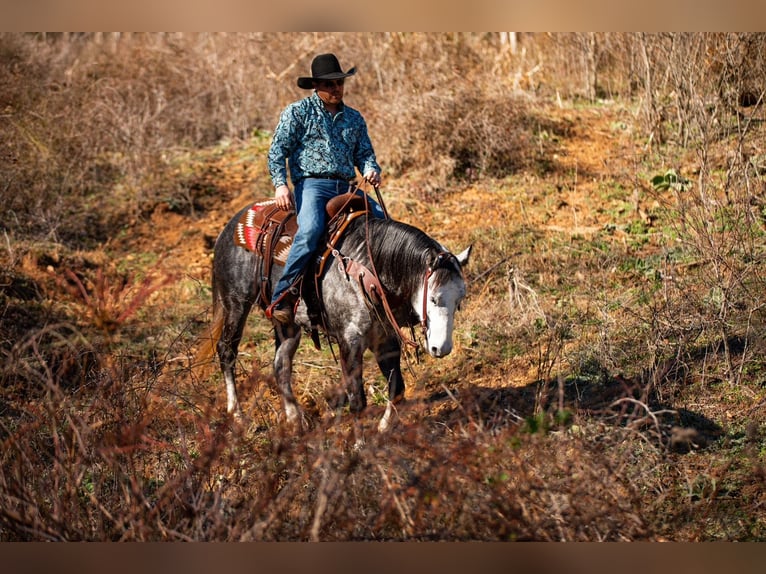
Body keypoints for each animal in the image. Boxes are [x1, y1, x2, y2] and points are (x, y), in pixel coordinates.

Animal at [207, 198, 471, 433]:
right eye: (433, 298)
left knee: (281, 363)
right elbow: (357, 400)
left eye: (459, 301)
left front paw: (384, 428)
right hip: (236, 304)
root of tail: (231, 226)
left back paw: (295, 419)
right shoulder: (349, 343)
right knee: (226, 351)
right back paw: (237, 415)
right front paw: (359, 445)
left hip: (287, 324)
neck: (367, 270)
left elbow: (397, 390)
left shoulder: (385, 340)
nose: (441, 348)